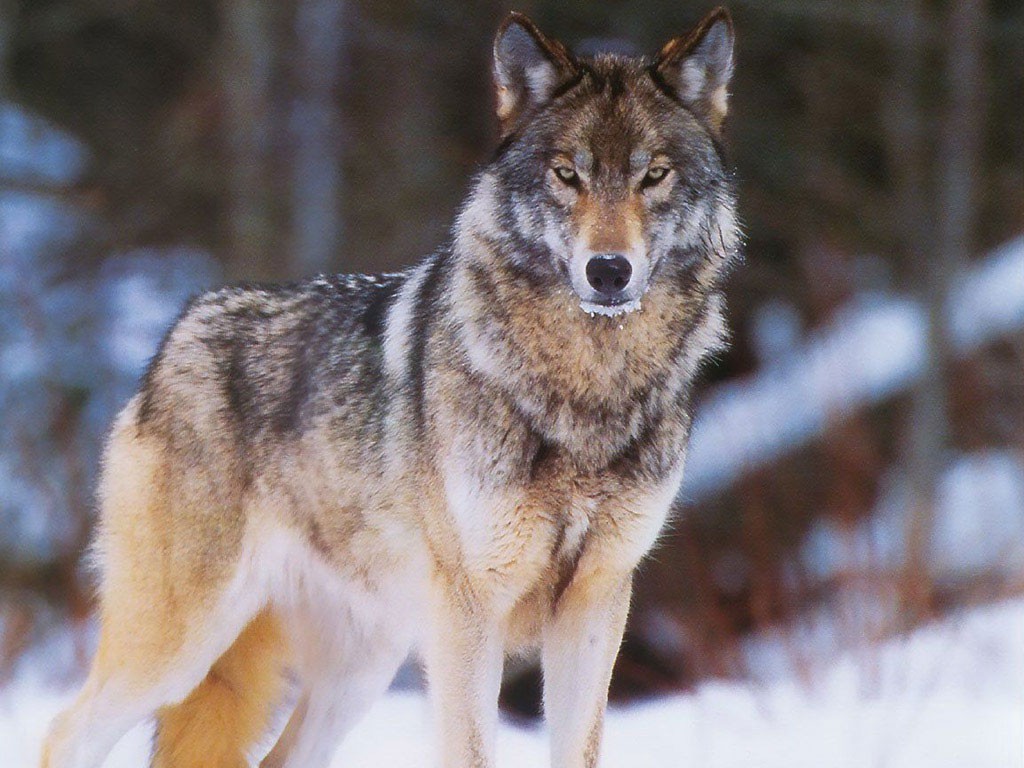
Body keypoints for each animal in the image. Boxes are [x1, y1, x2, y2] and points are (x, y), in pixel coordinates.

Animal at [41, 7, 745, 768]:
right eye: (567, 175)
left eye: (654, 176)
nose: (609, 271)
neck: (587, 389)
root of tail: (179, 330)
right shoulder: (470, 611)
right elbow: (472, 752)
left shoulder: (597, 603)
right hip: (179, 648)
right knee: (62, 733)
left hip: (359, 669)